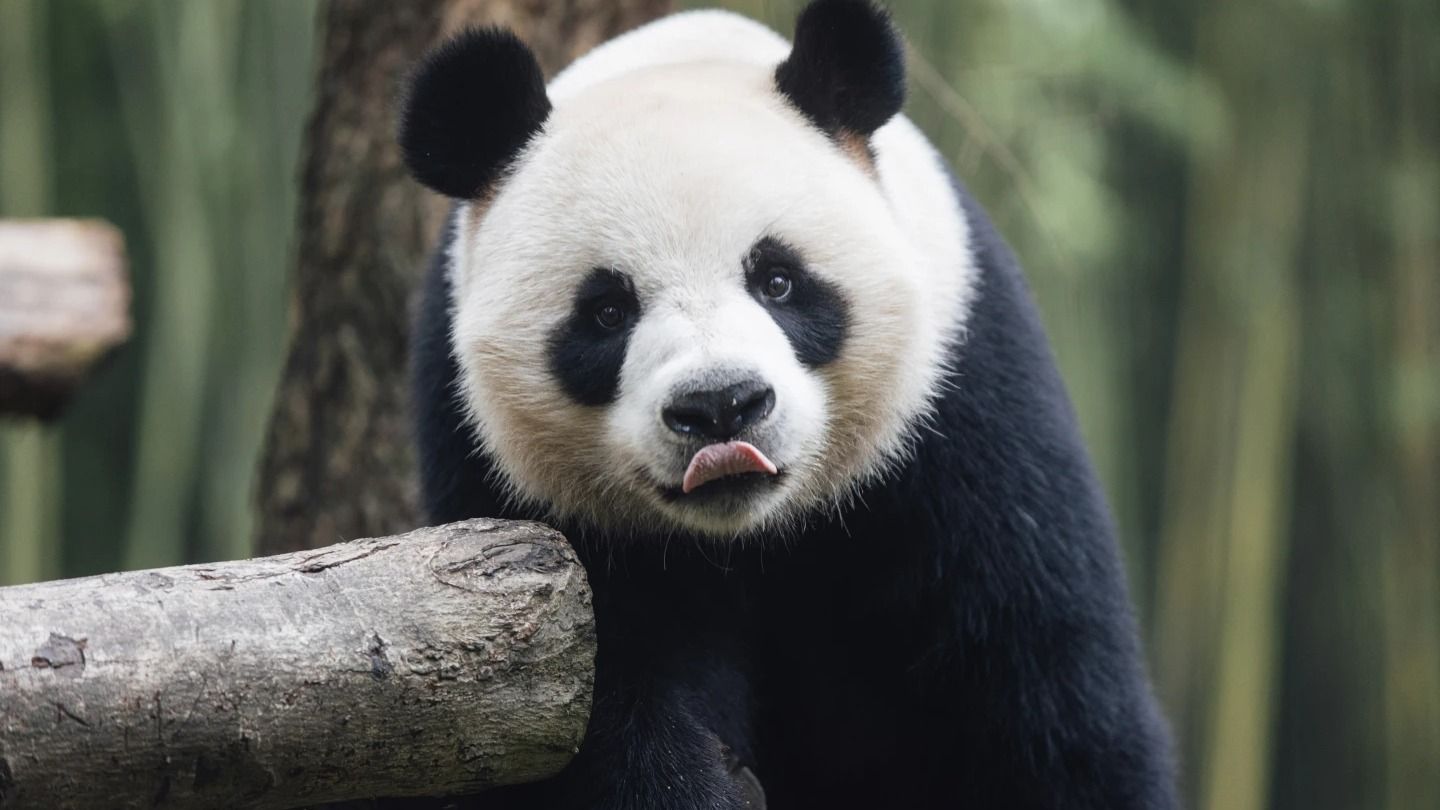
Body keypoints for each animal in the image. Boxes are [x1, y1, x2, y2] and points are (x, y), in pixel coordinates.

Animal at [400, 3, 1175, 801]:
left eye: (778, 280)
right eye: (607, 311)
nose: (720, 406)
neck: (750, 534)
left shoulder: (969, 411)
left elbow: (1043, 693)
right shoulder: (503, 482)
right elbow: (588, 709)